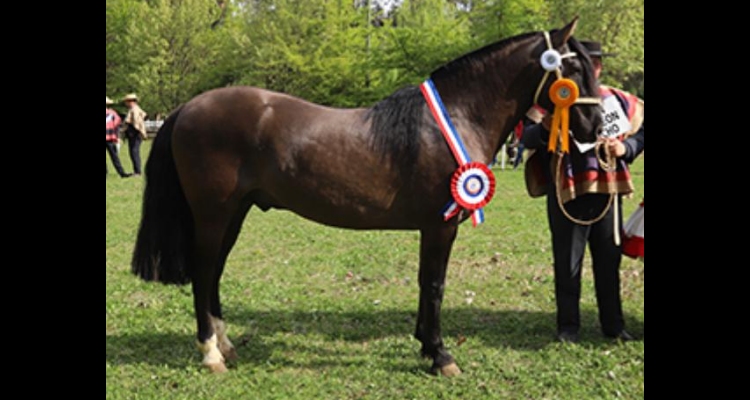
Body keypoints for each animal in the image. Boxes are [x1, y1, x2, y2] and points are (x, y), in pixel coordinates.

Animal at [134, 18, 604, 376]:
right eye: (575, 71)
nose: (598, 127)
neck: (456, 116)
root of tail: (187, 108)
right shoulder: (440, 225)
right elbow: (435, 284)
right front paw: (440, 355)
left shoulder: (433, 226)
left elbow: (426, 283)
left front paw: (425, 345)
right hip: (214, 215)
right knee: (203, 273)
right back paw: (211, 355)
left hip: (234, 214)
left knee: (212, 274)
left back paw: (226, 346)